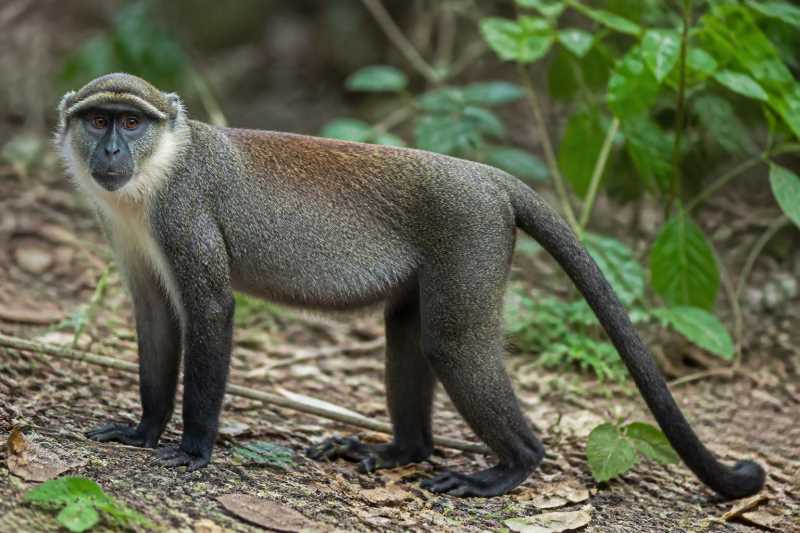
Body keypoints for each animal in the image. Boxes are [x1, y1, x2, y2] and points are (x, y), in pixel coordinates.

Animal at [55, 73, 764, 498]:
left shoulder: (184, 214)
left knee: (452, 344)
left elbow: (210, 311)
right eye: (99, 121)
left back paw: (511, 467)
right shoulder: (130, 235)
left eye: (132, 123)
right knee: (406, 332)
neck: (156, 172)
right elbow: (155, 318)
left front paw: (194, 448)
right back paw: (404, 450)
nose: (111, 153)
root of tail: (489, 179)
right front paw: (145, 430)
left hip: (472, 241)